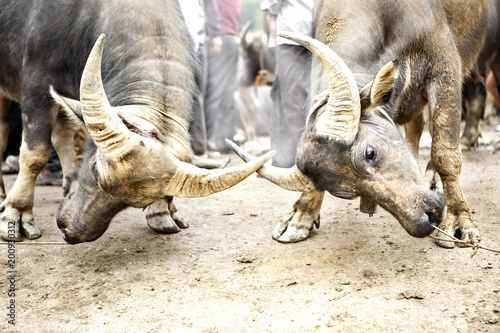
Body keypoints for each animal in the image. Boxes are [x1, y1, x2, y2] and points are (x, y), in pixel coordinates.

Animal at [0, 0, 274, 244]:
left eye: (134, 202)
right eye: (95, 169)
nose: (71, 231)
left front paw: (164, 212)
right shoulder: (36, 87)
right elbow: (35, 154)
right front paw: (16, 214)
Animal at [230, 0, 488, 246]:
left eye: (369, 153)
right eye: (349, 192)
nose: (425, 220)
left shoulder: (445, 66)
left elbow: (445, 152)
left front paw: (458, 220)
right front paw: (301, 214)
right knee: (416, 127)